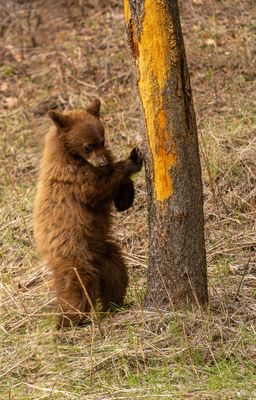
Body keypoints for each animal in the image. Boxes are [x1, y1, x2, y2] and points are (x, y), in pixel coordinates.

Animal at [33, 98, 143, 326]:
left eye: (102, 140)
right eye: (87, 146)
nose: (101, 162)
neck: (70, 154)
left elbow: (114, 193)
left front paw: (126, 198)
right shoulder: (72, 178)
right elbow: (97, 188)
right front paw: (132, 160)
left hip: (104, 251)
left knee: (116, 272)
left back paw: (115, 304)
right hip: (73, 252)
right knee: (78, 284)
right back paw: (70, 319)